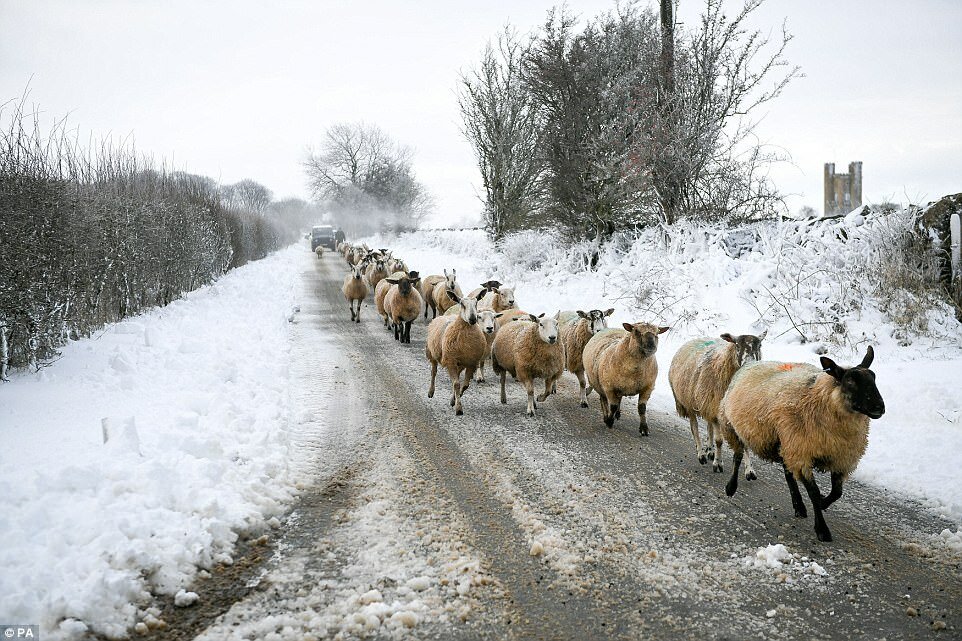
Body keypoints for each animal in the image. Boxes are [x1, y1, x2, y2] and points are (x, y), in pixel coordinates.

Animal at [668, 331, 767, 478]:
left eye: (759, 345)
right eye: (737, 345)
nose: (750, 364)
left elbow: (744, 444)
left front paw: (750, 470)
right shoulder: (714, 411)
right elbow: (719, 440)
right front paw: (718, 463)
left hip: (706, 402)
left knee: (708, 427)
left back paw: (710, 450)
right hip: (691, 403)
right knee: (694, 428)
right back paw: (701, 454)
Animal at [719, 346, 885, 542]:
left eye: (873, 378)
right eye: (850, 381)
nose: (879, 407)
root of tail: (750, 363)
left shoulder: (840, 458)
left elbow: (837, 493)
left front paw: (823, 503)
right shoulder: (802, 454)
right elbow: (813, 492)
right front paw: (822, 529)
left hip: (786, 443)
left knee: (788, 474)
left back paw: (798, 505)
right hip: (734, 427)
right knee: (737, 456)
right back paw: (731, 487)